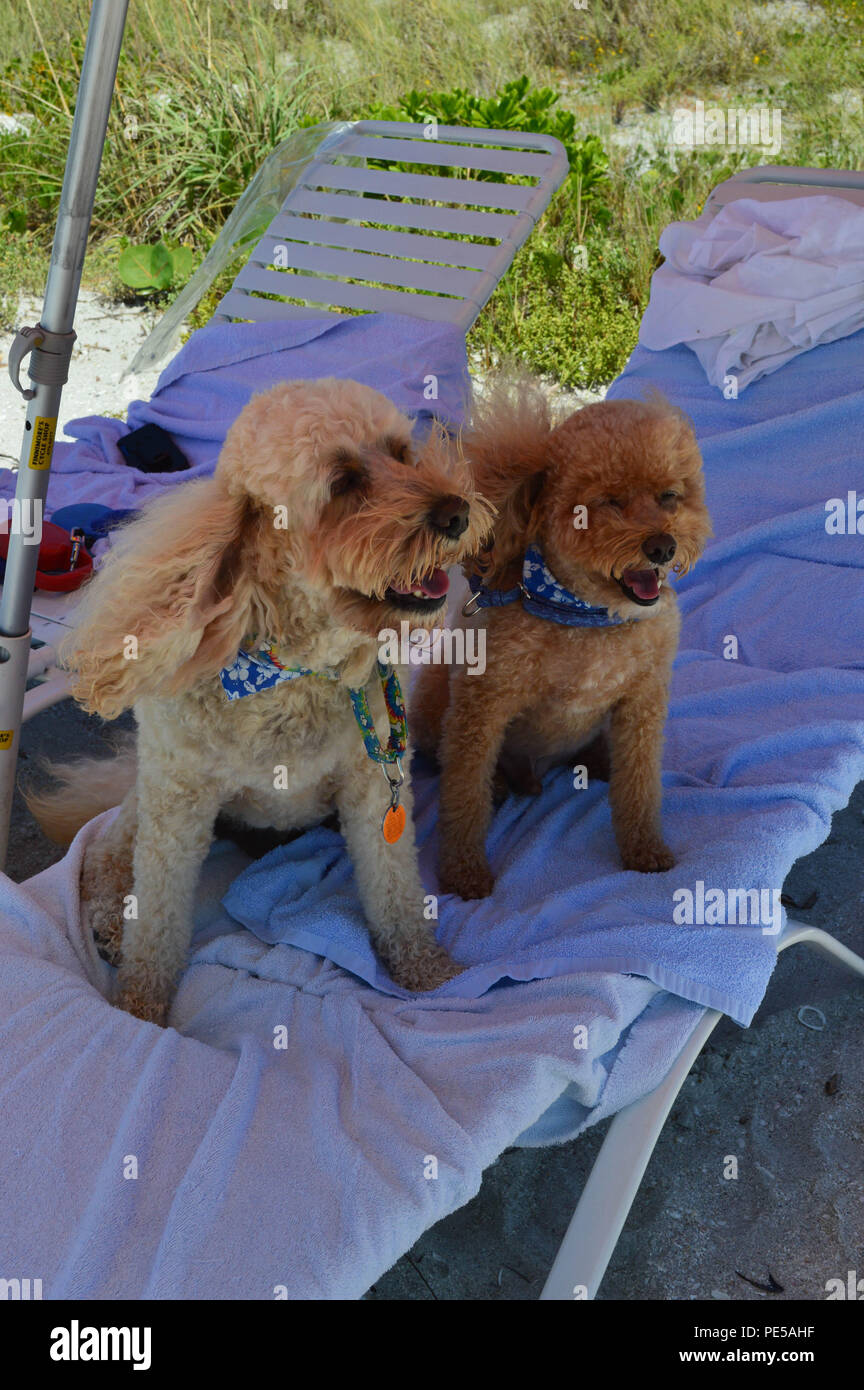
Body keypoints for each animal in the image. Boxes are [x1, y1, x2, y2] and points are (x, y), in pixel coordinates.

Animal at [30, 380, 494, 1023]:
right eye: (343, 483)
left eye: (402, 452)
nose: (458, 513)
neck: (291, 673)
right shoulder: (177, 805)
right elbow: (157, 916)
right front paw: (141, 1006)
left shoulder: (374, 788)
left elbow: (395, 889)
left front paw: (427, 973)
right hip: (147, 797)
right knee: (104, 854)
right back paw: (107, 922)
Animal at [416, 380, 716, 900]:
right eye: (609, 501)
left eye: (669, 496)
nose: (663, 547)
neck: (585, 616)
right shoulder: (481, 706)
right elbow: (464, 793)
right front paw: (463, 872)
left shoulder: (644, 700)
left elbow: (640, 784)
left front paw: (645, 850)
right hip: (436, 690)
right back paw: (504, 784)